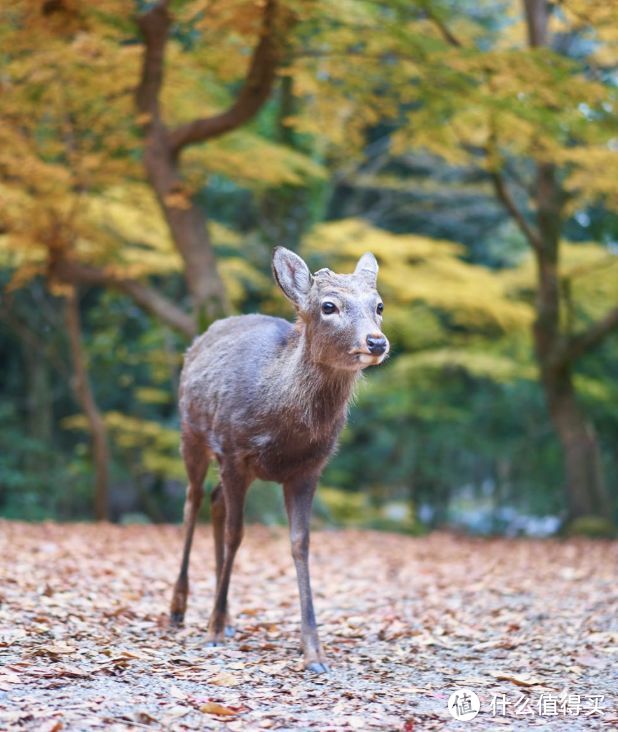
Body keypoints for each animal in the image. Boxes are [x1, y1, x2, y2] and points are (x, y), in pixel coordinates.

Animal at [167, 247, 390, 676]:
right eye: (328, 306)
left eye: (379, 305)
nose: (376, 341)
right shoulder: (234, 451)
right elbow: (237, 534)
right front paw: (212, 631)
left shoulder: (308, 470)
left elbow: (300, 544)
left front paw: (314, 652)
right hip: (192, 432)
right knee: (192, 502)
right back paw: (179, 610)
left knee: (215, 502)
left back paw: (227, 617)